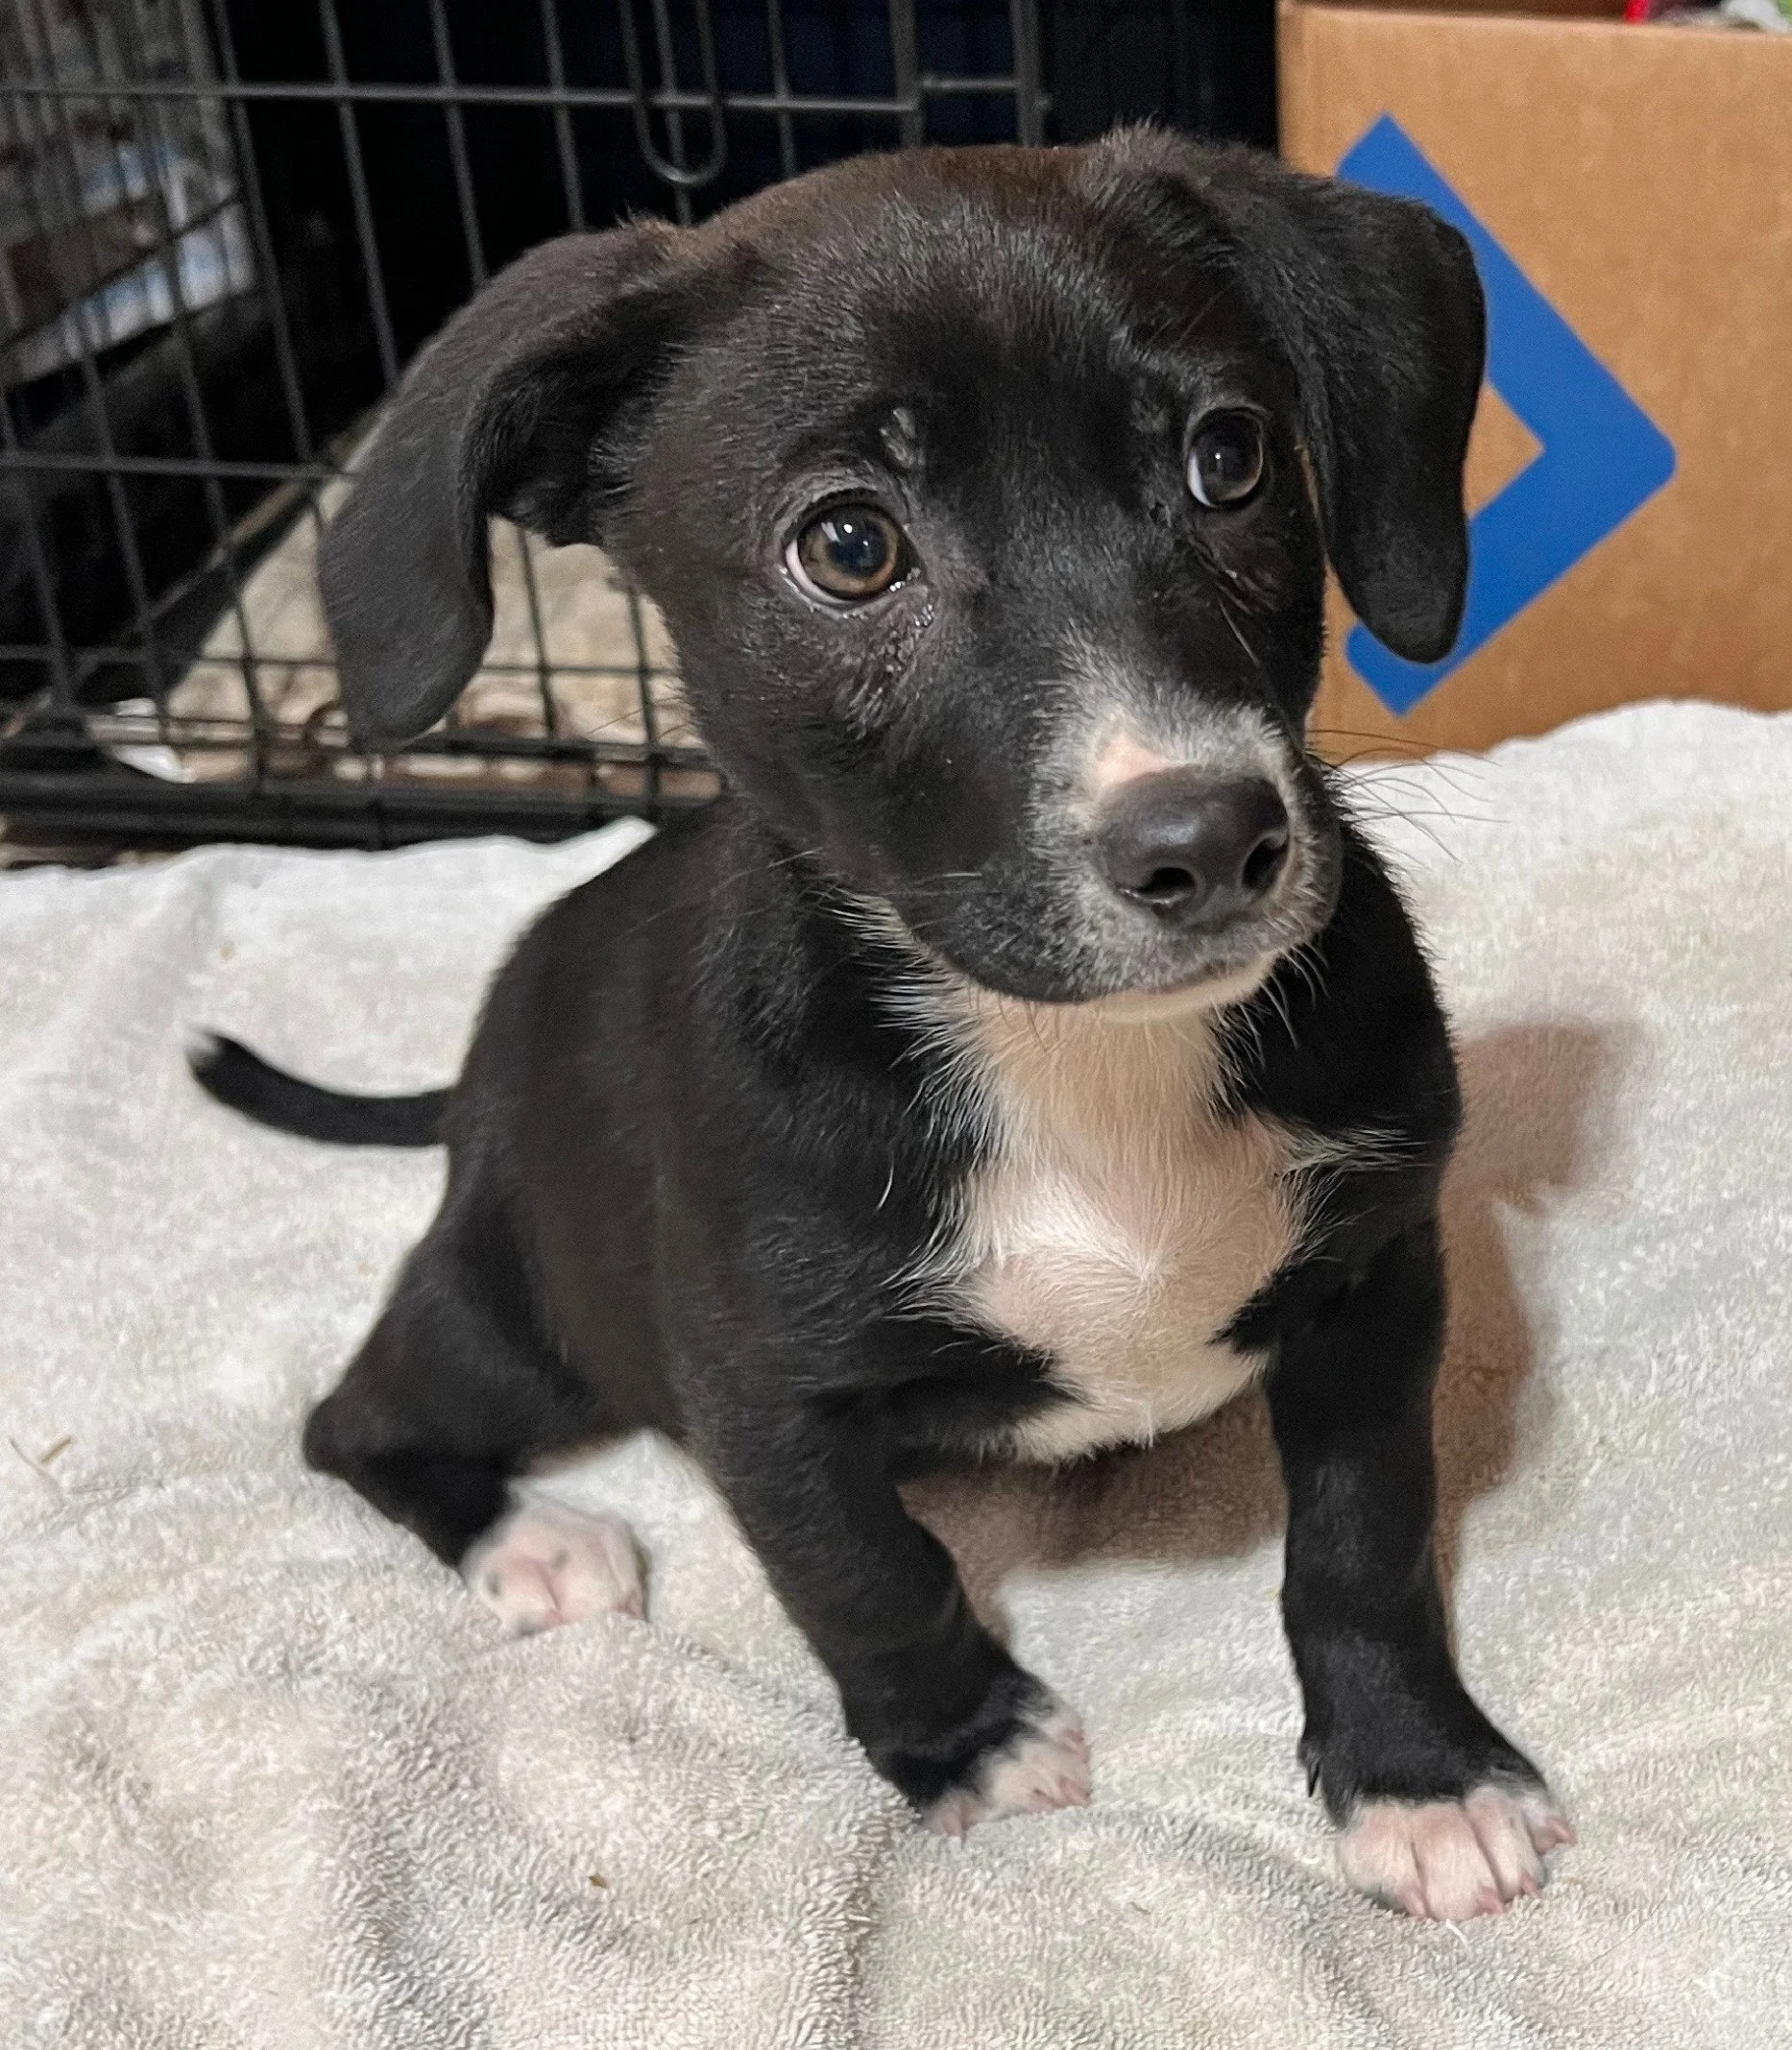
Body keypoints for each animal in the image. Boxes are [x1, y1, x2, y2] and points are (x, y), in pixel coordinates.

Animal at [194, 128, 1573, 1920]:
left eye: (1229, 457)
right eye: (848, 547)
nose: (1208, 841)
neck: (1066, 1055)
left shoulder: (1374, 1275)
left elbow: (1361, 1537)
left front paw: (1415, 1774)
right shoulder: (754, 1384)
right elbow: (864, 1572)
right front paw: (967, 1741)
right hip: (522, 1318)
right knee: (353, 1417)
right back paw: (534, 1542)